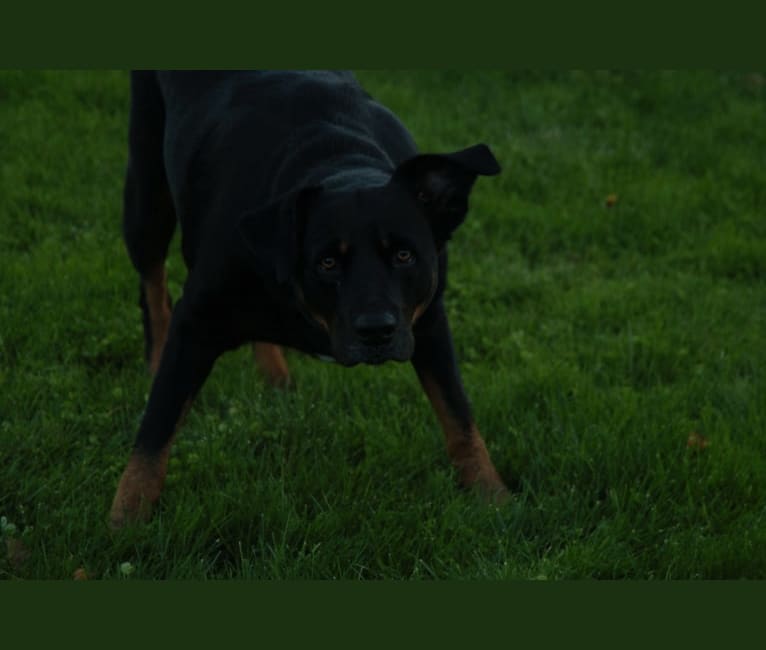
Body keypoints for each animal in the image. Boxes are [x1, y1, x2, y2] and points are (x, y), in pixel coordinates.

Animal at [111, 71, 510, 528]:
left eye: (404, 255)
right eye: (327, 262)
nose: (376, 331)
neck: (341, 164)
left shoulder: (426, 322)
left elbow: (458, 412)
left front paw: (492, 495)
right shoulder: (196, 320)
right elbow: (157, 425)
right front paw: (125, 518)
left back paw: (275, 375)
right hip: (146, 194)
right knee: (153, 286)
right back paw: (156, 358)